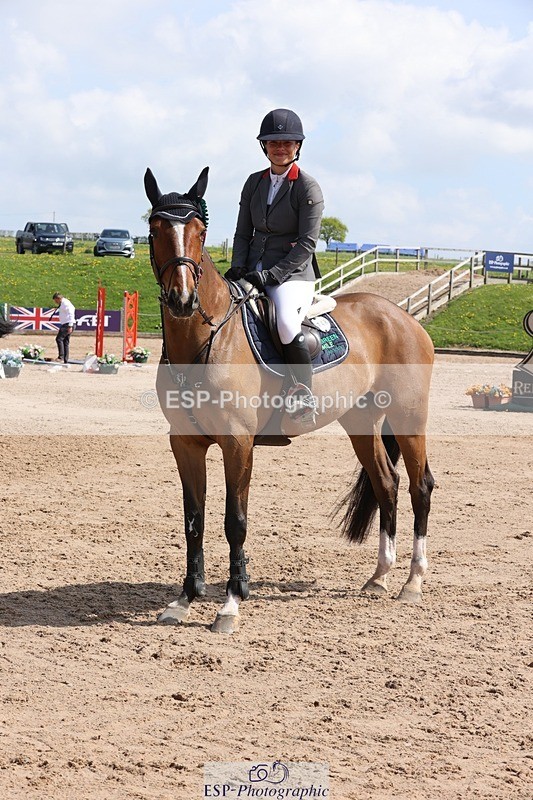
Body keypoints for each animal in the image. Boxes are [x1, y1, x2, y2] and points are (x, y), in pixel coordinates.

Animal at [144, 167, 435, 634]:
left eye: (200, 232)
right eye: (154, 230)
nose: (182, 299)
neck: (206, 338)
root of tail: (403, 316)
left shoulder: (237, 443)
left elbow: (234, 522)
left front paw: (231, 604)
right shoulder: (185, 443)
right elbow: (193, 522)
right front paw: (184, 600)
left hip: (409, 417)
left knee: (419, 486)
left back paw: (413, 582)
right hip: (361, 421)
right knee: (386, 483)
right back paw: (379, 577)